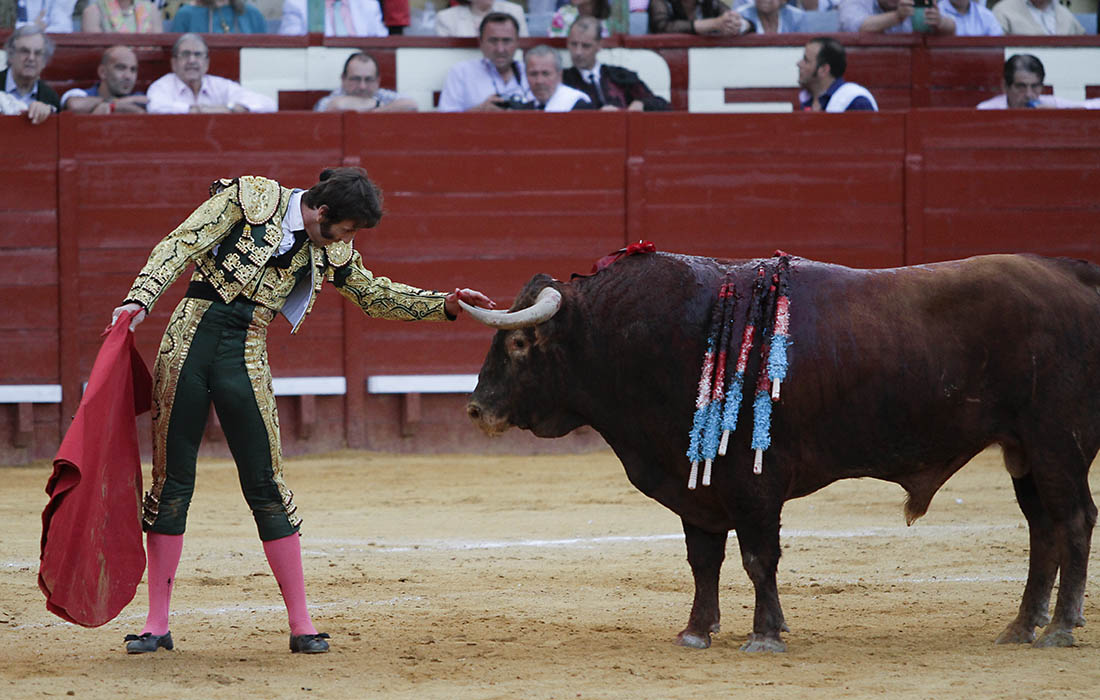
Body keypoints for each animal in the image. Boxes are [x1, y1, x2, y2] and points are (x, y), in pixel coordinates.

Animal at [462, 251, 1100, 652]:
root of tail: (1075, 275)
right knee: (1042, 529)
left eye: (519, 343)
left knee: (1073, 520)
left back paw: (1061, 629)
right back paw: (1021, 627)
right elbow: (703, 560)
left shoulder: (754, 486)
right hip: (1023, 451)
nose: (476, 410)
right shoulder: (695, 486)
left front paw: (764, 635)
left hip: (1056, 444)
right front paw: (696, 632)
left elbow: (757, 558)